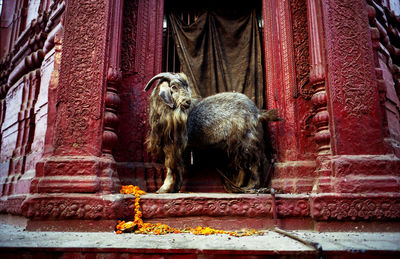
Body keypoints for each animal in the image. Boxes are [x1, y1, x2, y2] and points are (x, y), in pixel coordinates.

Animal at [145, 72, 282, 193]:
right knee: (243, 164)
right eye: (174, 86)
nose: (187, 102)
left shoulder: (173, 145)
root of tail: (257, 112)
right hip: (238, 145)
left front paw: (163, 189)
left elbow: (171, 166)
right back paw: (238, 186)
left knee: (254, 163)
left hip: (246, 140)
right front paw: (175, 188)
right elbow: (176, 167)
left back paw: (250, 187)